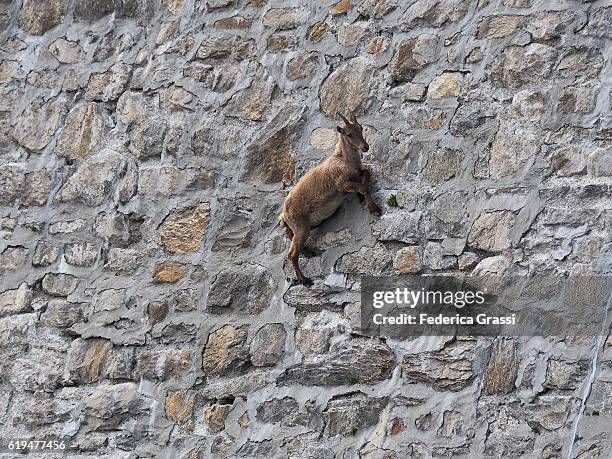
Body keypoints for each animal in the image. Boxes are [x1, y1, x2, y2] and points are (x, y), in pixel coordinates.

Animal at [280, 113, 378, 286]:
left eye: (361, 128)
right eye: (349, 134)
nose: (365, 147)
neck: (344, 160)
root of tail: (283, 215)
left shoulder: (357, 174)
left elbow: (366, 174)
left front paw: (362, 200)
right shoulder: (342, 184)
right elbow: (362, 187)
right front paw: (374, 208)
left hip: (303, 227)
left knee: (292, 240)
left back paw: (309, 252)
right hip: (301, 226)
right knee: (292, 254)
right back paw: (305, 280)